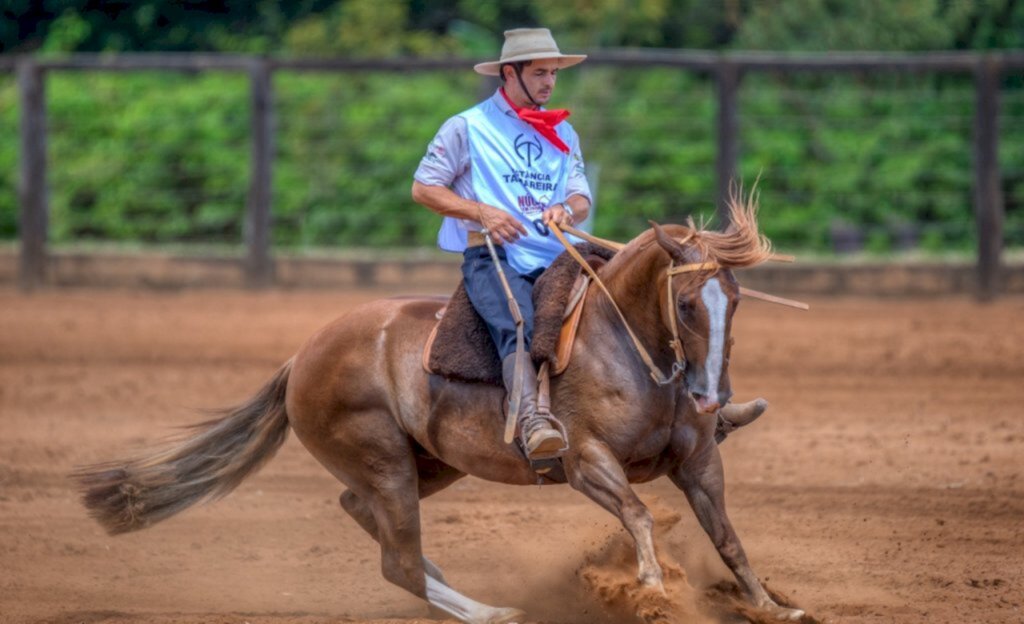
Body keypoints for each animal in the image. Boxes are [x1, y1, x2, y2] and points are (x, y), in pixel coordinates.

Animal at [75, 200, 802, 622]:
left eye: (735, 300)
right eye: (686, 304)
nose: (710, 397)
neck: (620, 342)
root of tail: (301, 357)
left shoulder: (699, 462)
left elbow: (728, 539)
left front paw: (772, 605)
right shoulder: (587, 463)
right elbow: (639, 513)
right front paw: (652, 585)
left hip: (427, 464)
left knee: (367, 517)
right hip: (386, 461)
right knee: (395, 559)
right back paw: (488, 612)